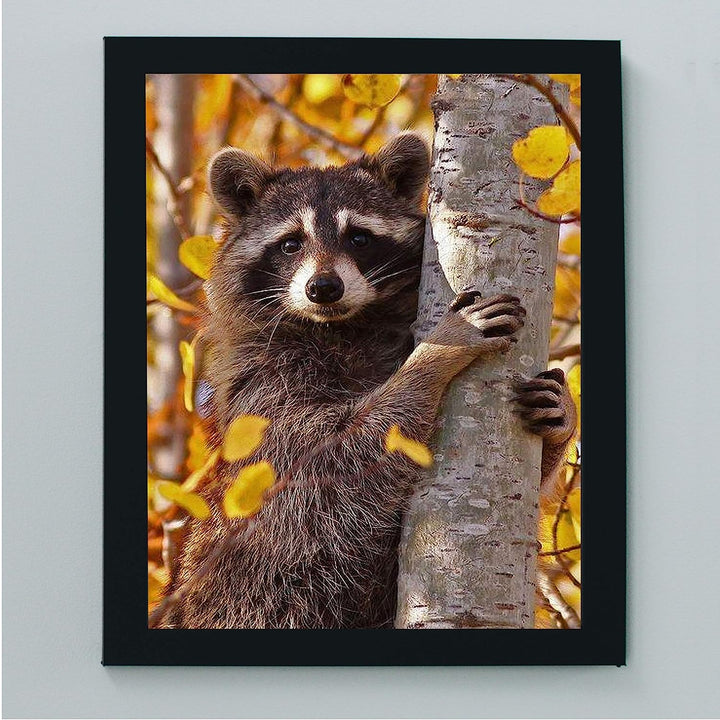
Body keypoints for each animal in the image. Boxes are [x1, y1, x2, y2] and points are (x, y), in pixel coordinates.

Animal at [165, 133, 576, 629]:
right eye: (290, 244)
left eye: (359, 238)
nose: (323, 287)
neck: (344, 326)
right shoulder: (262, 393)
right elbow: (333, 457)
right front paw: (435, 353)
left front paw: (562, 421)